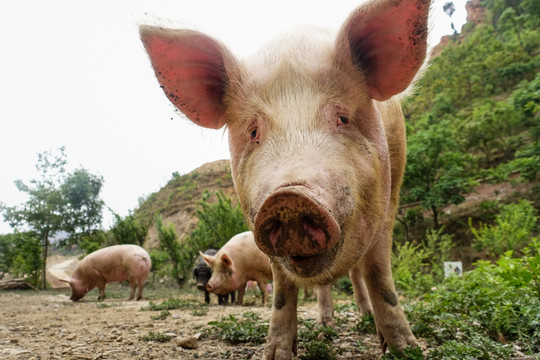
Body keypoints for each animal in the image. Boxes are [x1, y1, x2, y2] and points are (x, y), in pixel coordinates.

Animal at [139, 0, 430, 358]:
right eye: (253, 131)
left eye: (342, 117)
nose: (288, 198)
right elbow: (281, 290)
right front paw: (276, 352)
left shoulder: (390, 199)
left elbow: (378, 275)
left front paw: (407, 349)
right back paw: (326, 323)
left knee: (357, 274)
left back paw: (362, 316)